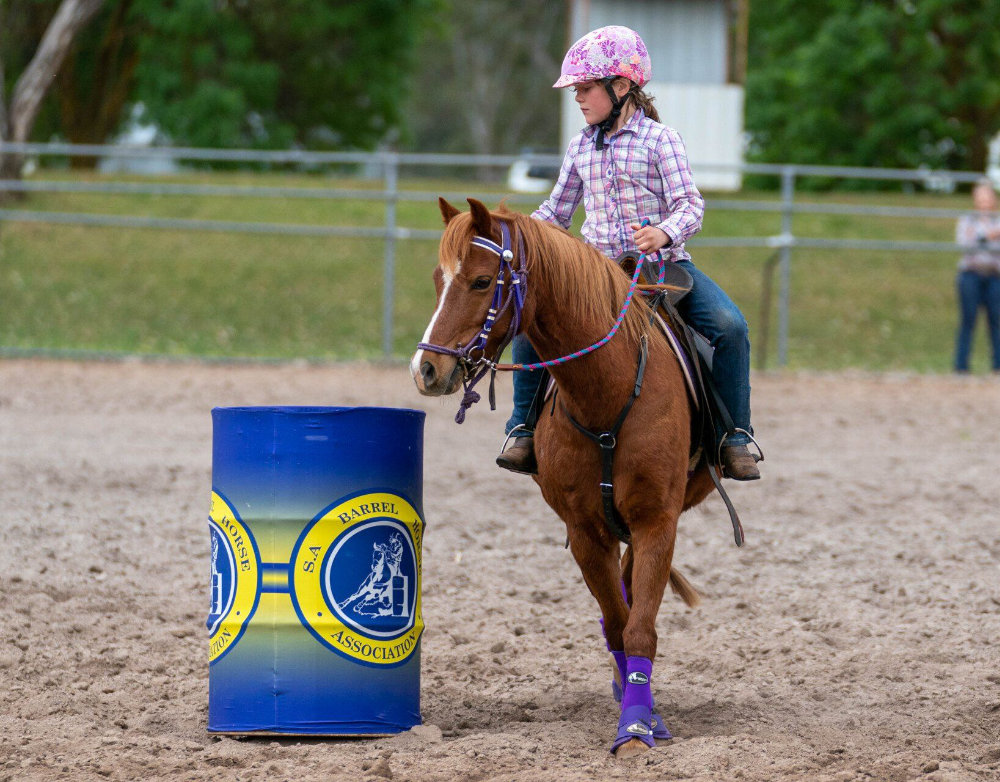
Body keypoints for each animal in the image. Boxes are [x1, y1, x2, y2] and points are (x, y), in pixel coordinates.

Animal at [411, 197, 718, 758]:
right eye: (438, 278)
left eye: (482, 281)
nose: (425, 370)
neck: (607, 392)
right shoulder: (584, 531)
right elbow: (618, 625)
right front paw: (637, 713)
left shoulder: (657, 520)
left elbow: (641, 628)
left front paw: (637, 731)